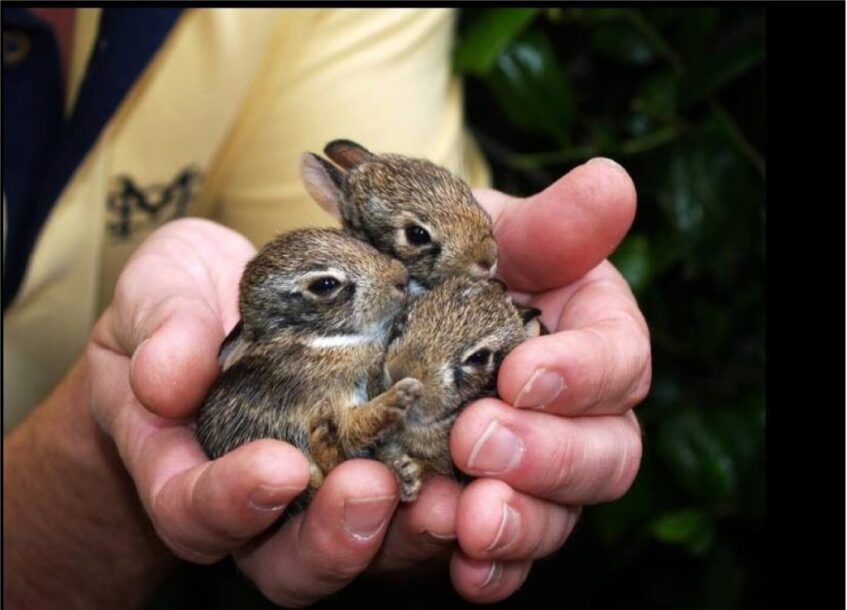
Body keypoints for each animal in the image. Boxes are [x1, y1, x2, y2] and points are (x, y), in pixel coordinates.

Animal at [195, 226, 420, 510]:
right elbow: (354, 427)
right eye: (325, 285)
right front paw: (399, 396)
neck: (317, 340)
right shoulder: (328, 399)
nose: (401, 278)